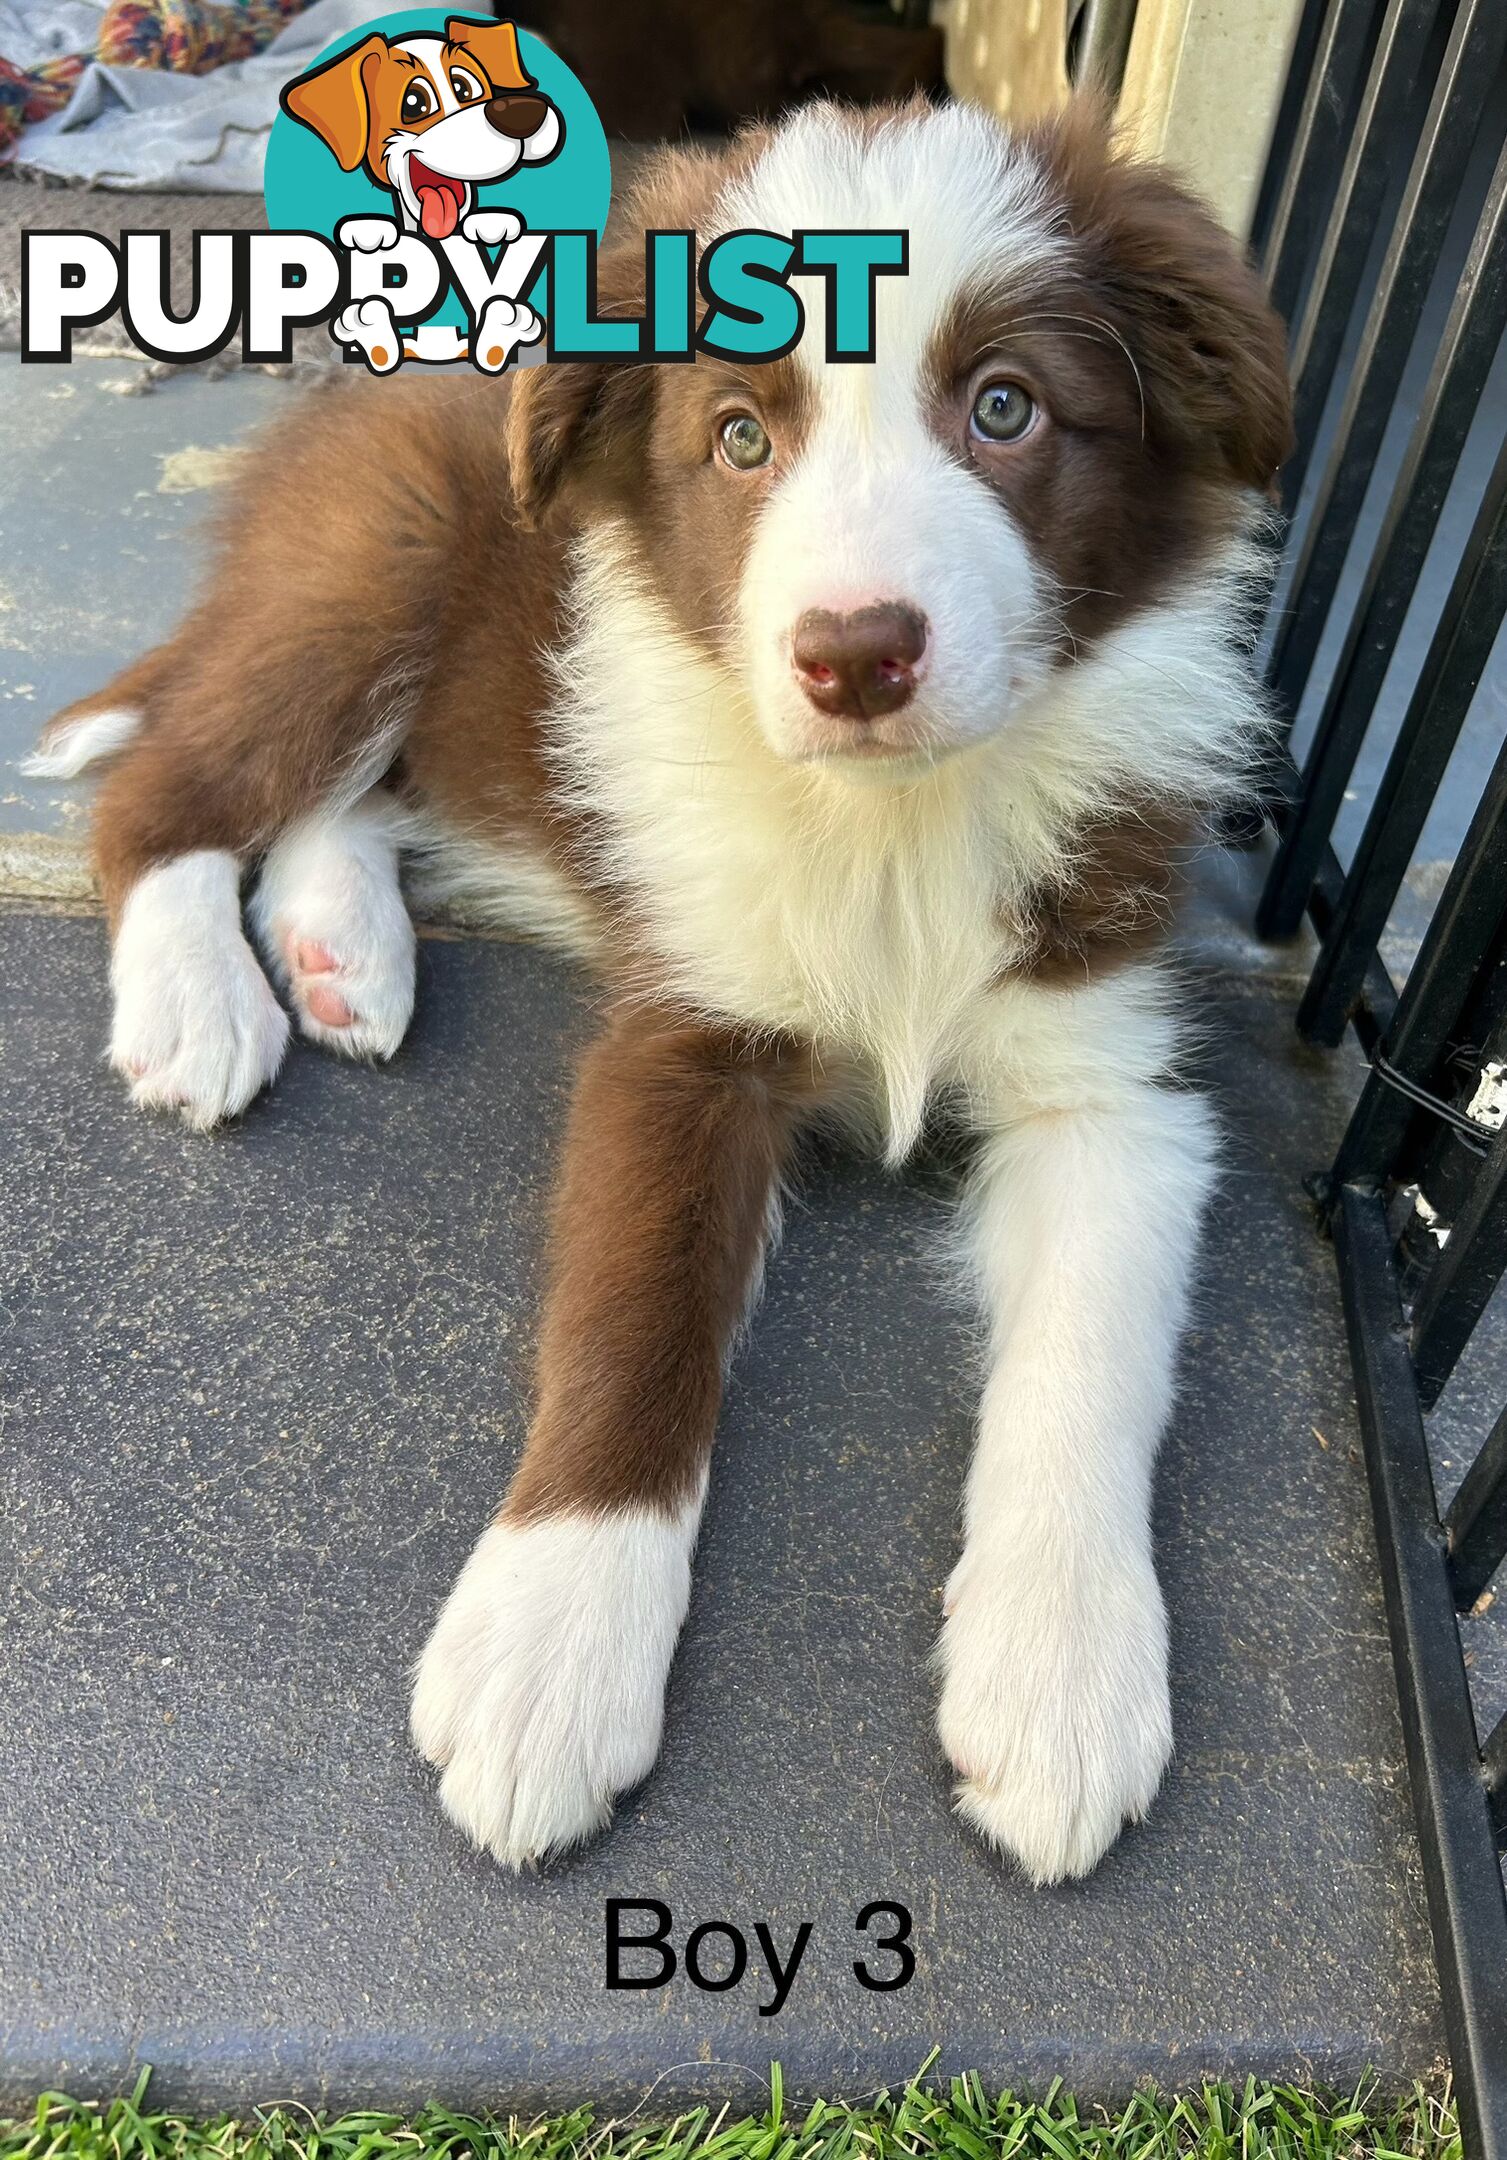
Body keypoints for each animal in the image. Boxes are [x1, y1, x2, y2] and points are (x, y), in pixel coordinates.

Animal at [29, 101, 1286, 1883]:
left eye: (1004, 408)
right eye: (741, 437)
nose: (852, 655)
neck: (888, 827)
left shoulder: (1109, 1075)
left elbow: (1085, 1360)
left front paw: (1057, 1673)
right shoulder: (682, 1034)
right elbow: (631, 1315)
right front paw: (548, 1648)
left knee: (364, 800)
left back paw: (344, 951)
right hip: (374, 575)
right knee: (171, 796)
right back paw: (200, 1001)